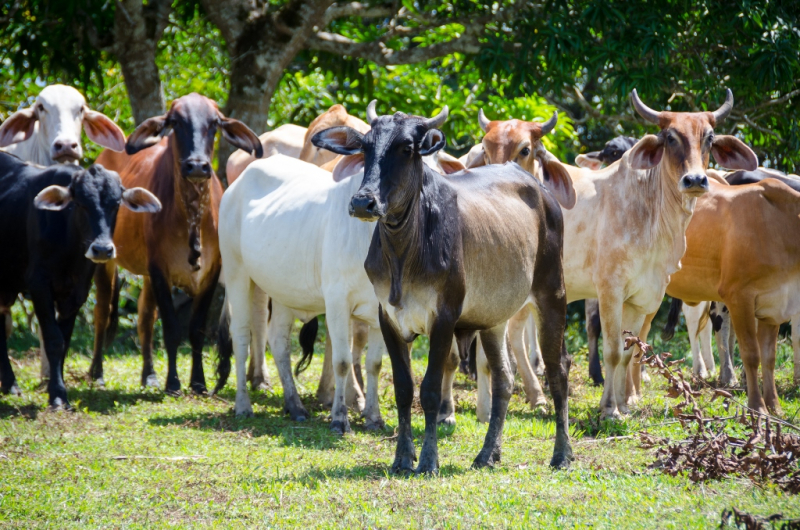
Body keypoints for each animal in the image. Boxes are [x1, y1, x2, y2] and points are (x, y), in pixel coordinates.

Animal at [0, 151, 161, 406]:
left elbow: (64, 341)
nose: (102, 249)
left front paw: (57, 390)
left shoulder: (77, 292)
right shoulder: (38, 283)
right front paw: (57, 396)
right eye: (81, 203)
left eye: (116, 204)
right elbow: (53, 339)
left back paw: (9, 383)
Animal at [88, 94, 262, 392]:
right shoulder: (160, 270)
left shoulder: (211, 273)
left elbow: (196, 329)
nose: (197, 166)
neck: (192, 214)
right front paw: (173, 382)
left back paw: (149, 375)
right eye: (175, 122)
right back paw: (97, 372)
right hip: (106, 259)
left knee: (145, 317)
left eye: (214, 123)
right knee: (102, 312)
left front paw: (198, 382)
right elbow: (170, 328)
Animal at [314, 102, 576, 470]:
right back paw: (488, 453)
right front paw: (402, 458)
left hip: (552, 294)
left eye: (407, 148)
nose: (363, 202)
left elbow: (430, 390)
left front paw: (428, 460)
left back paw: (561, 454)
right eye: (365, 147)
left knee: (558, 370)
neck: (403, 251)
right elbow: (404, 388)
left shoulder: (444, 318)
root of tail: (540, 190)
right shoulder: (388, 318)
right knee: (503, 378)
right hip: (493, 318)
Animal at [472, 92, 760, 420]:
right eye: (670, 138)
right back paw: (484, 408)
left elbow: (627, 351)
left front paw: (623, 404)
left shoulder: (643, 295)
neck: (651, 211)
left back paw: (535, 397)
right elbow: (611, 350)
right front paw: (609, 409)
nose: (695, 180)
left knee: (515, 335)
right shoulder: (610, 290)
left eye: (709, 138)